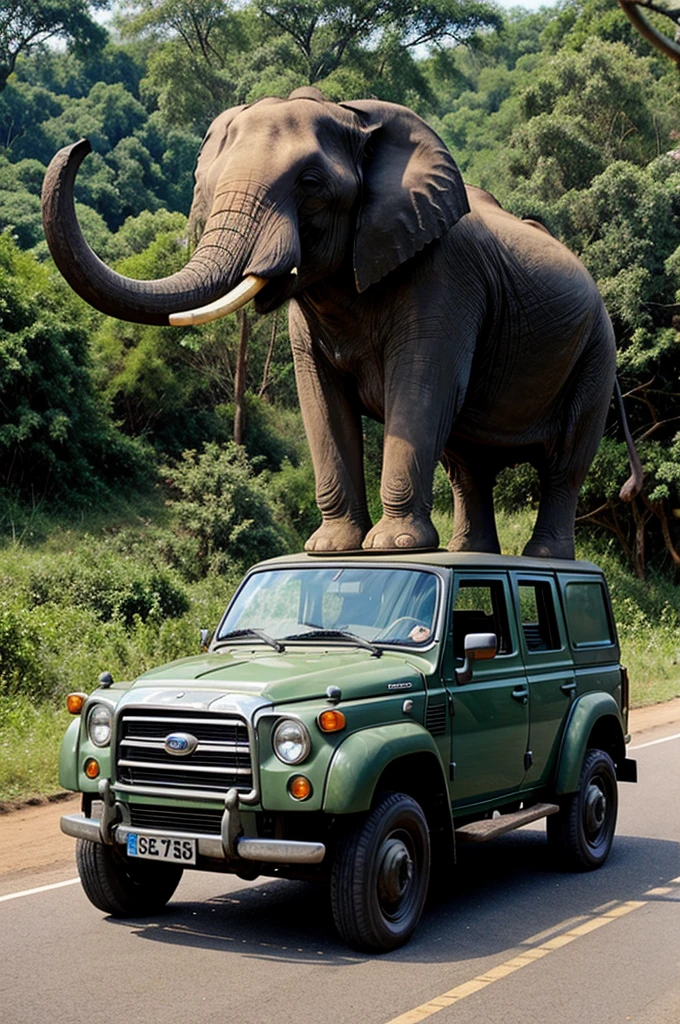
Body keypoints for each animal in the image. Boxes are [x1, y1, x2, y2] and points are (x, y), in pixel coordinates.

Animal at [43, 88, 643, 561]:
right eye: (208, 187)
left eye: (310, 183)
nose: (82, 145)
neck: (355, 117)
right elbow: (321, 399)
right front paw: (330, 549)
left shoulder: (445, 276)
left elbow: (422, 385)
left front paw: (393, 548)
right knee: (467, 463)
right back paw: (470, 553)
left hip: (597, 350)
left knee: (564, 460)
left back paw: (541, 557)